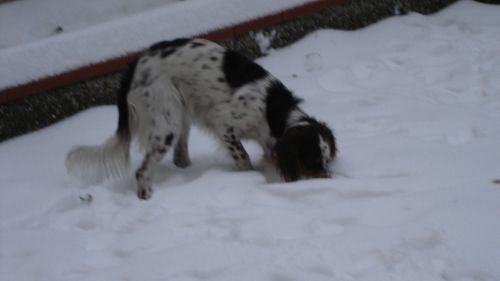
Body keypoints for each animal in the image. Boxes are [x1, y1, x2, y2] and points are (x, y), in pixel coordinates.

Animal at [66, 37, 338, 199]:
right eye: (312, 162)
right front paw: (251, 178)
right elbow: (244, 158)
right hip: (166, 121)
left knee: (179, 153)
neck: (274, 111)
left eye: (327, 161)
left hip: (181, 110)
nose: (329, 180)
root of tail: (134, 65)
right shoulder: (225, 123)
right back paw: (146, 196)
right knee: (142, 171)